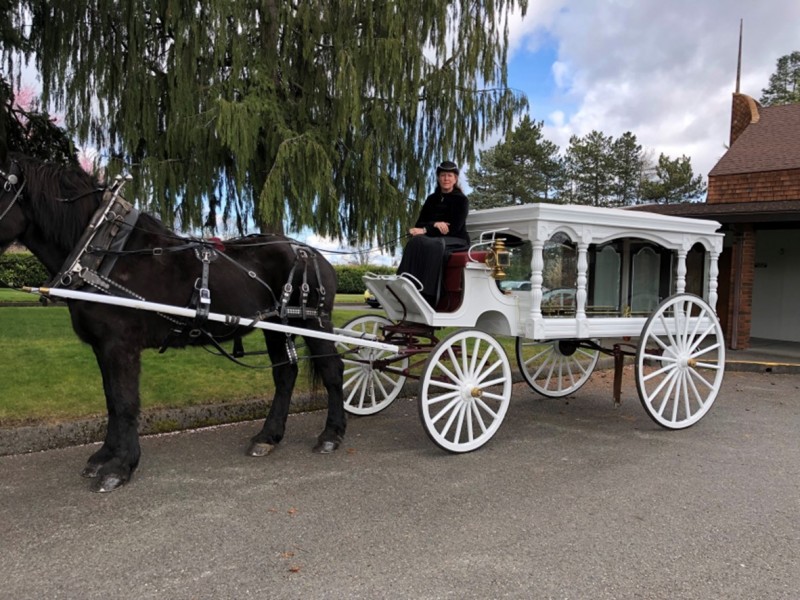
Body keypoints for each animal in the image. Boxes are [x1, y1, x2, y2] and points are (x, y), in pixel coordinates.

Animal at [0, 154, 344, 492]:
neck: (102, 251)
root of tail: (313, 254)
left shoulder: (120, 345)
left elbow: (125, 402)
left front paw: (120, 466)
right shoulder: (103, 348)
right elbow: (111, 399)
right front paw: (104, 457)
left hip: (314, 323)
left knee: (332, 371)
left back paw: (332, 435)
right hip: (277, 327)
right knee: (285, 374)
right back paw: (267, 437)